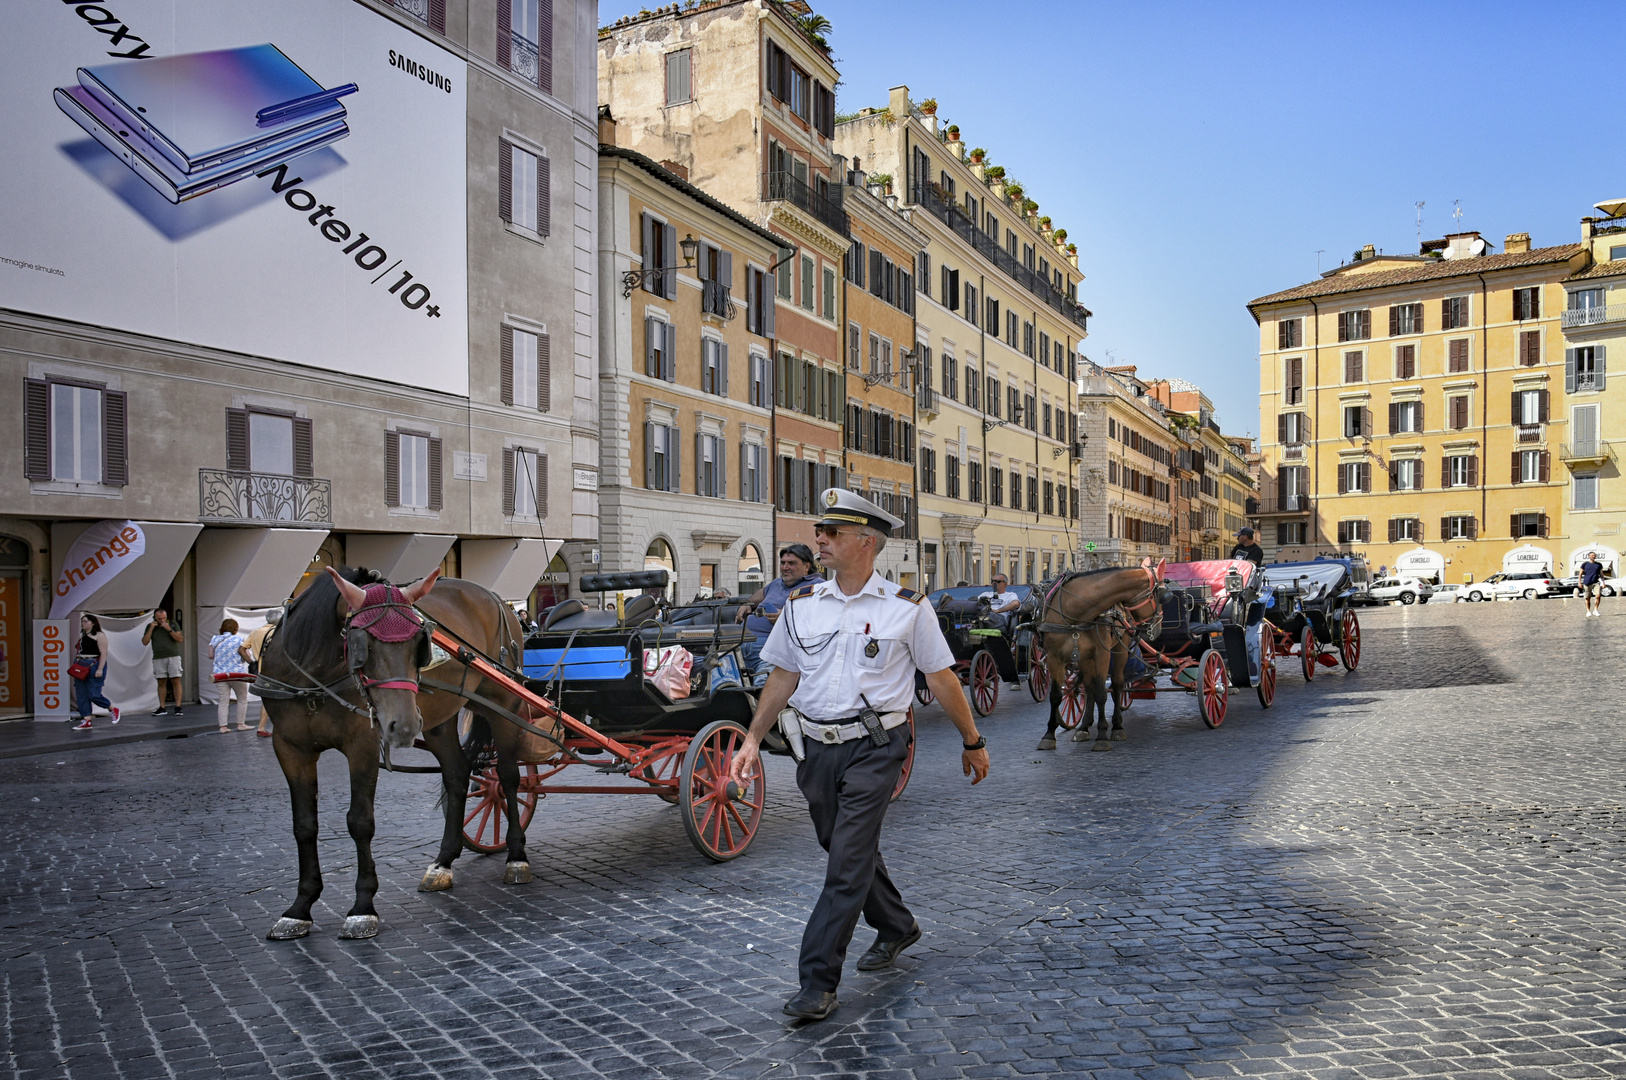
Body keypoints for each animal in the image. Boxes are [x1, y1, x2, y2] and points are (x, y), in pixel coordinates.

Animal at [260, 559, 546, 943]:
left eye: (419, 644)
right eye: (364, 644)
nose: (404, 726)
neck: (313, 678)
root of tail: (498, 599)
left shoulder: (362, 745)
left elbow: (360, 822)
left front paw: (362, 907)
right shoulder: (289, 748)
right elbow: (304, 825)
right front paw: (299, 908)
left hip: (504, 702)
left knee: (509, 777)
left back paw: (516, 856)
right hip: (440, 718)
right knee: (457, 774)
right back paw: (442, 863)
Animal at [1034, 566, 1164, 751]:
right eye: (1161, 594)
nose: (1158, 628)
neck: (1073, 613)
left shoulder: (1102, 654)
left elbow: (1102, 693)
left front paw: (1102, 736)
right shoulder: (1054, 657)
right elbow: (1056, 696)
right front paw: (1049, 735)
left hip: (1119, 650)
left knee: (1117, 686)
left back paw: (1117, 726)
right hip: (1084, 659)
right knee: (1089, 688)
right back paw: (1083, 727)